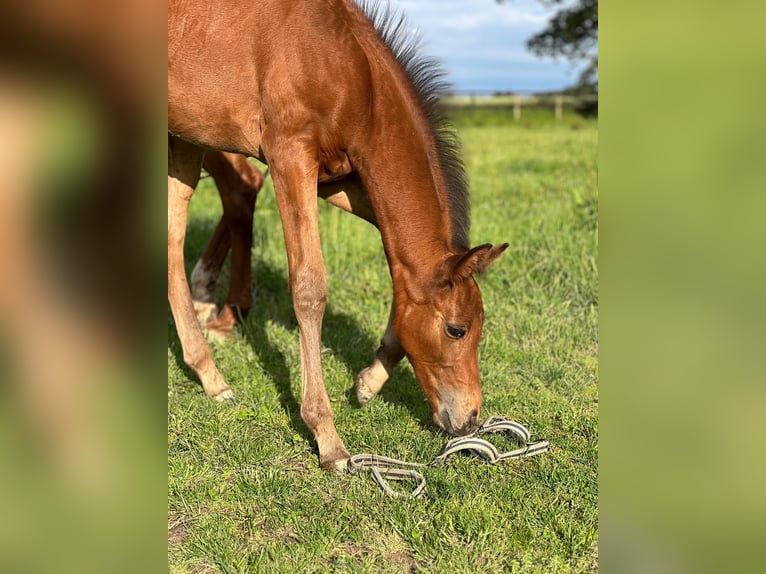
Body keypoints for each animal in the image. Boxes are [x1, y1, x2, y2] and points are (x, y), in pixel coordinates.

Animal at [171, 1, 512, 472]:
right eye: (457, 330)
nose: (469, 420)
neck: (350, 69)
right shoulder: (290, 156)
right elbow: (309, 288)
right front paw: (327, 437)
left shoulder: (342, 179)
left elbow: (400, 267)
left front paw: (369, 381)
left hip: (185, 139)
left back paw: (208, 366)